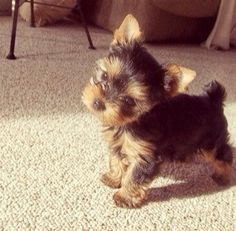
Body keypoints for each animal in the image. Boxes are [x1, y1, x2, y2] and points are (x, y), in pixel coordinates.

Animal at [81, 15, 232, 208]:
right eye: (105, 76)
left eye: (129, 101)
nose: (99, 103)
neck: (131, 122)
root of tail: (213, 100)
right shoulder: (117, 143)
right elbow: (116, 160)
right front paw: (114, 178)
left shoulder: (145, 155)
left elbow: (135, 176)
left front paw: (124, 196)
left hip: (212, 141)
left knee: (224, 154)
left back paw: (223, 176)